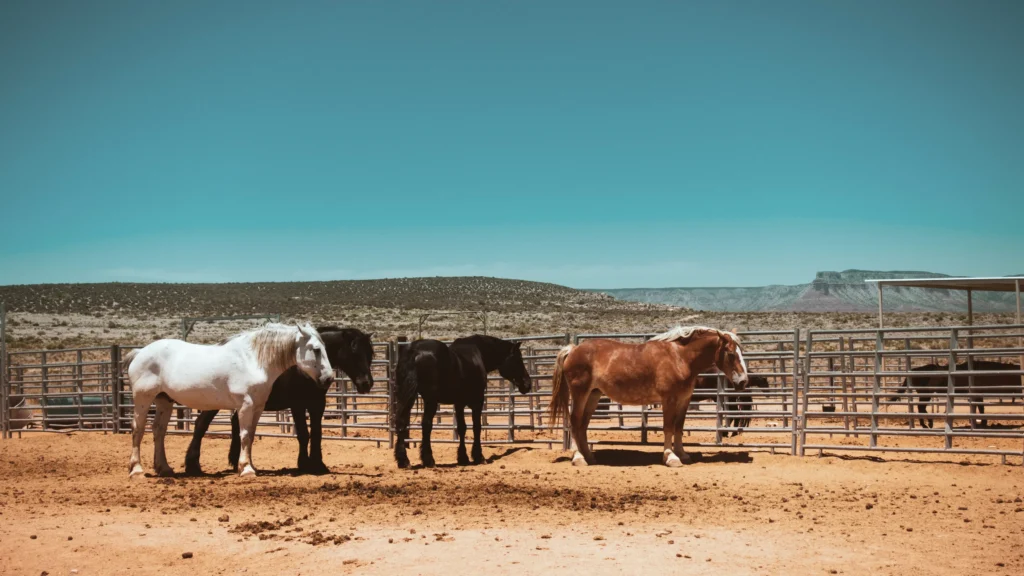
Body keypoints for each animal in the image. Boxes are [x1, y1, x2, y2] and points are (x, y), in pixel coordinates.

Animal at [123, 319, 331, 477]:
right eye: (316, 349)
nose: (328, 378)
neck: (252, 360)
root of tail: (139, 352)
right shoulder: (246, 405)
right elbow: (244, 435)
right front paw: (246, 469)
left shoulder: (258, 407)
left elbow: (251, 436)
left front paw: (250, 466)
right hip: (143, 399)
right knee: (138, 429)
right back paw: (137, 470)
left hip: (164, 400)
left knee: (159, 431)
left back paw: (164, 468)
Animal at [185, 325, 376, 473]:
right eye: (354, 351)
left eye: (369, 354)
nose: (367, 383)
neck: (304, 370)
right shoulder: (298, 405)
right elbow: (304, 434)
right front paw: (304, 464)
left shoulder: (317, 404)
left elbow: (317, 433)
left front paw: (319, 464)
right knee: (201, 425)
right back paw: (193, 465)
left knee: (234, 423)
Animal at [393, 336, 532, 467]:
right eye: (518, 359)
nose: (527, 384)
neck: (478, 353)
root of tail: (414, 351)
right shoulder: (477, 403)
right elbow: (476, 427)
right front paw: (478, 456)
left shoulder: (459, 404)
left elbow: (462, 428)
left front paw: (463, 458)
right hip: (429, 400)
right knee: (426, 425)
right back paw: (428, 460)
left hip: (407, 396)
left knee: (402, 422)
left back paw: (403, 460)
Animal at [548, 325, 749, 463]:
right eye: (731, 353)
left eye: (741, 352)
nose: (743, 381)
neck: (679, 358)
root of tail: (572, 349)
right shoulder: (669, 399)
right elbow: (668, 427)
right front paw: (670, 457)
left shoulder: (684, 400)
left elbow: (679, 428)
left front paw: (682, 454)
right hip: (580, 393)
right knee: (575, 422)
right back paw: (579, 458)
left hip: (593, 395)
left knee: (582, 425)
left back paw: (589, 456)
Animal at [888, 358, 1024, 426]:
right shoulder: (977, 394)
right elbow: (981, 408)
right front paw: (983, 423)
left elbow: (978, 408)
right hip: (925, 394)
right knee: (921, 407)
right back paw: (928, 423)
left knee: (920, 407)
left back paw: (927, 424)